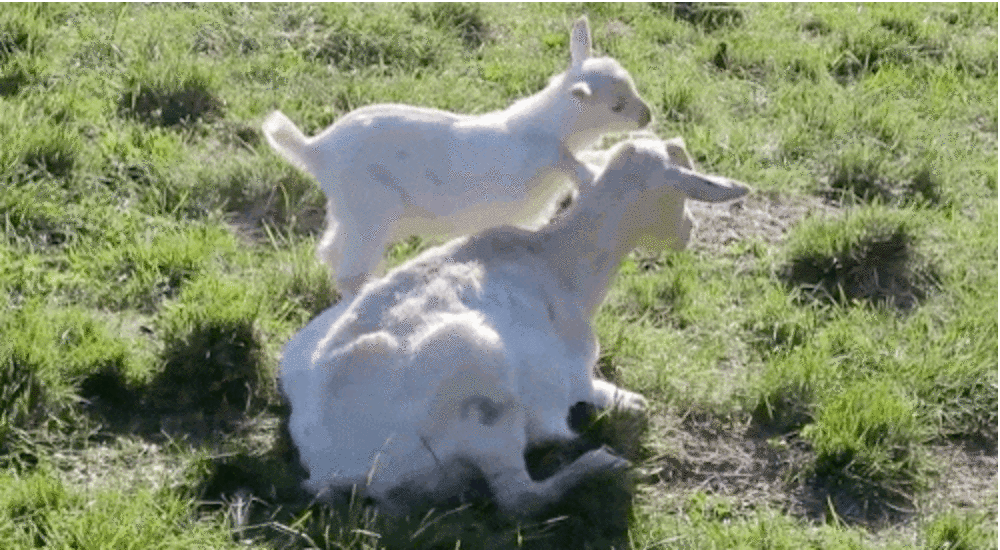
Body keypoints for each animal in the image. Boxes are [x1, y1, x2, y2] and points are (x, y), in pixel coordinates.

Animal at [263, 16, 652, 296]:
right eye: (616, 106)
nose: (647, 117)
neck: (552, 125)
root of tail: (316, 149)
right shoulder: (538, 156)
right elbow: (574, 167)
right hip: (369, 211)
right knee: (349, 272)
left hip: (350, 213)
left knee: (330, 253)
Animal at [279, 137, 749, 517]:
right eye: (679, 193)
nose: (690, 231)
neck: (559, 266)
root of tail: (329, 467)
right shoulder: (573, 369)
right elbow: (606, 396)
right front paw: (625, 405)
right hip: (481, 388)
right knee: (517, 499)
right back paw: (597, 464)